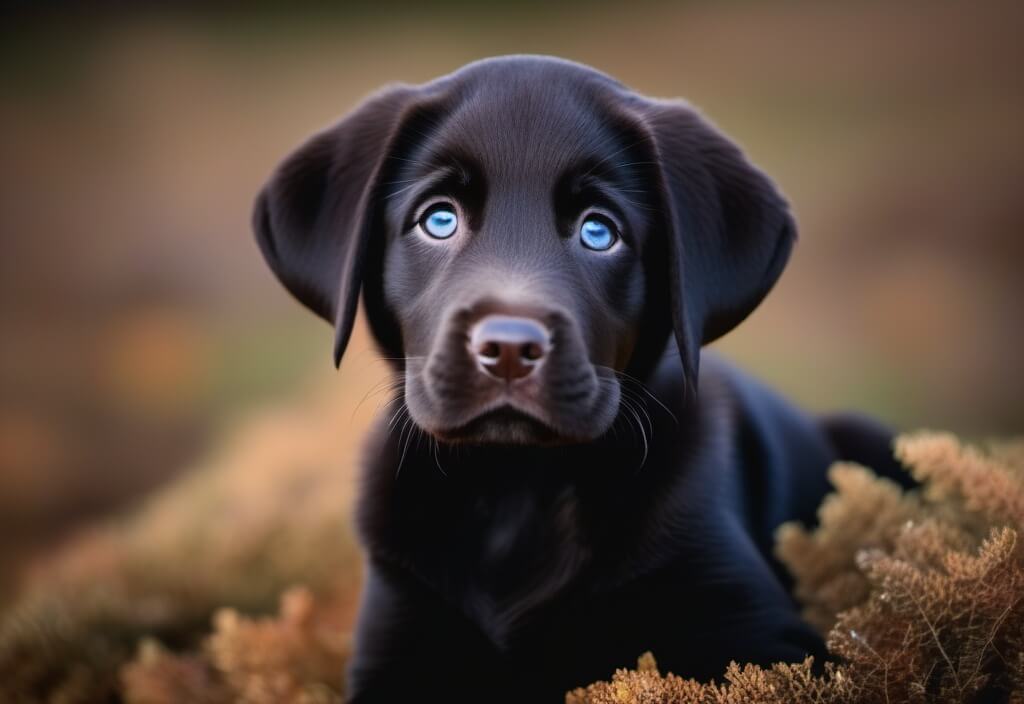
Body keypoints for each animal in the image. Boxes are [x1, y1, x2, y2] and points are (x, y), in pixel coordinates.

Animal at [253, 53, 905, 699]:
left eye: (599, 231)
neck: (517, 493)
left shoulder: (755, 630)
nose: (508, 350)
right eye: (438, 220)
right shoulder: (398, 636)